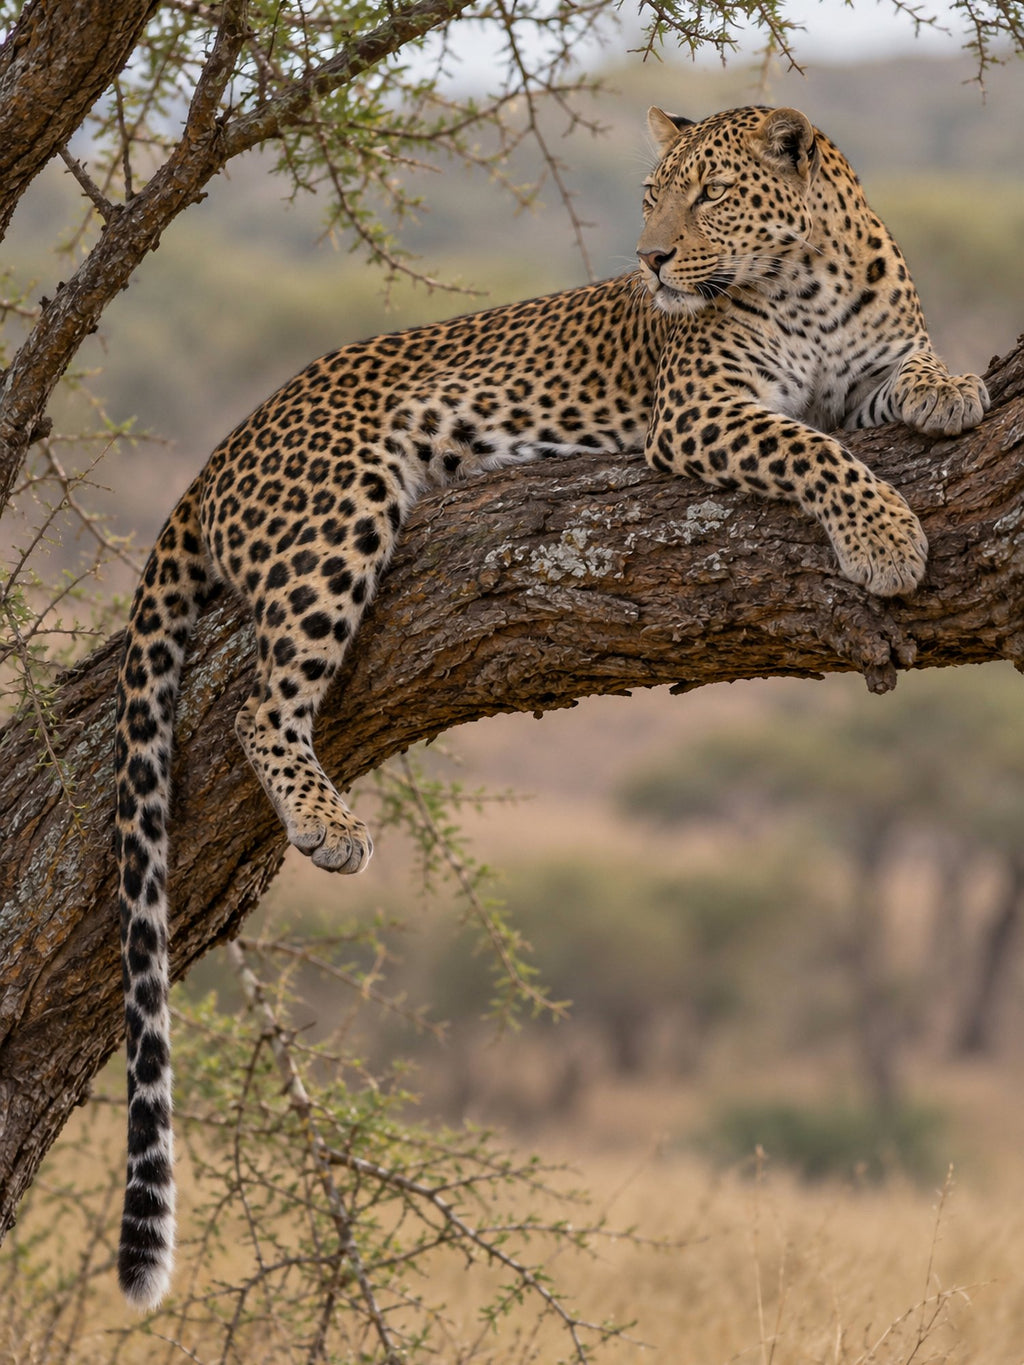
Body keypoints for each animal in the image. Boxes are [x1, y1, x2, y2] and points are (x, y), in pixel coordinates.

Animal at [113, 103, 989, 1307]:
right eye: (653, 196)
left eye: (710, 195)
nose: (651, 261)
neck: (807, 278)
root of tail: (224, 448)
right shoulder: (704, 410)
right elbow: (811, 447)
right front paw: (887, 537)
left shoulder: (856, 372)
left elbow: (902, 369)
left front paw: (951, 388)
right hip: (338, 515)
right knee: (259, 703)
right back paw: (327, 823)